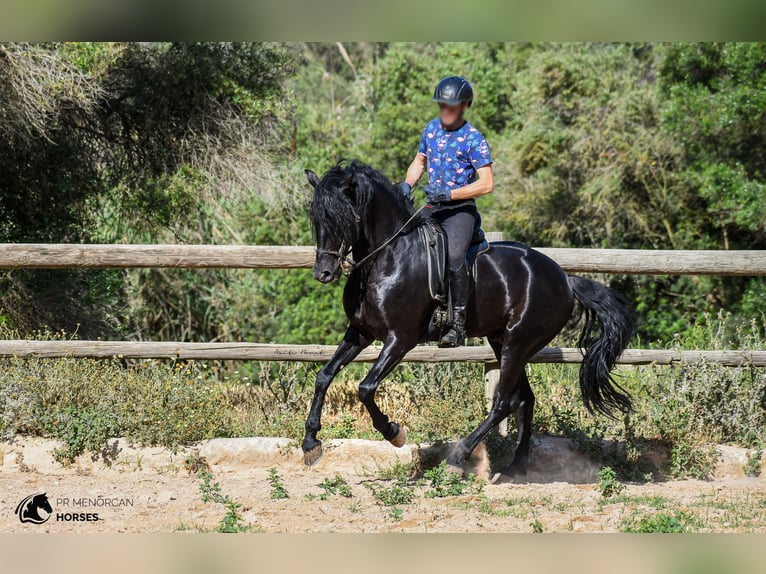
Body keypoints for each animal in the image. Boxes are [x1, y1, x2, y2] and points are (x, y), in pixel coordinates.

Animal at [304, 161, 632, 482]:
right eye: (316, 219)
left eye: (344, 218)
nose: (323, 273)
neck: (388, 258)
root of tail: (565, 279)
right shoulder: (360, 332)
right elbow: (324, 376)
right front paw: (311, 444)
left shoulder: (400, 340)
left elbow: (366, 387)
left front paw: (395, 432)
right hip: (503, 342)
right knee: (524, 400)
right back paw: (515, 467)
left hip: (519, 343)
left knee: (504, 402)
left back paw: (459, 458)